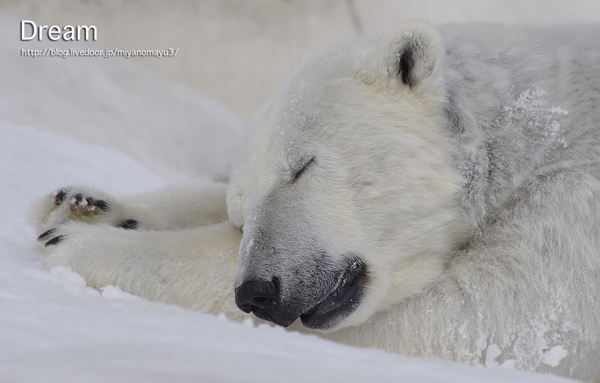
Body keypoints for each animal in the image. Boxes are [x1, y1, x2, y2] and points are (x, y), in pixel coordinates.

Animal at [34, 22, 600, 382]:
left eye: (302, 167)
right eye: (242, 214)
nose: (258, 291)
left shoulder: (570, 216)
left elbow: (476, 321)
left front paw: (75, 244)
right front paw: (83, 205)